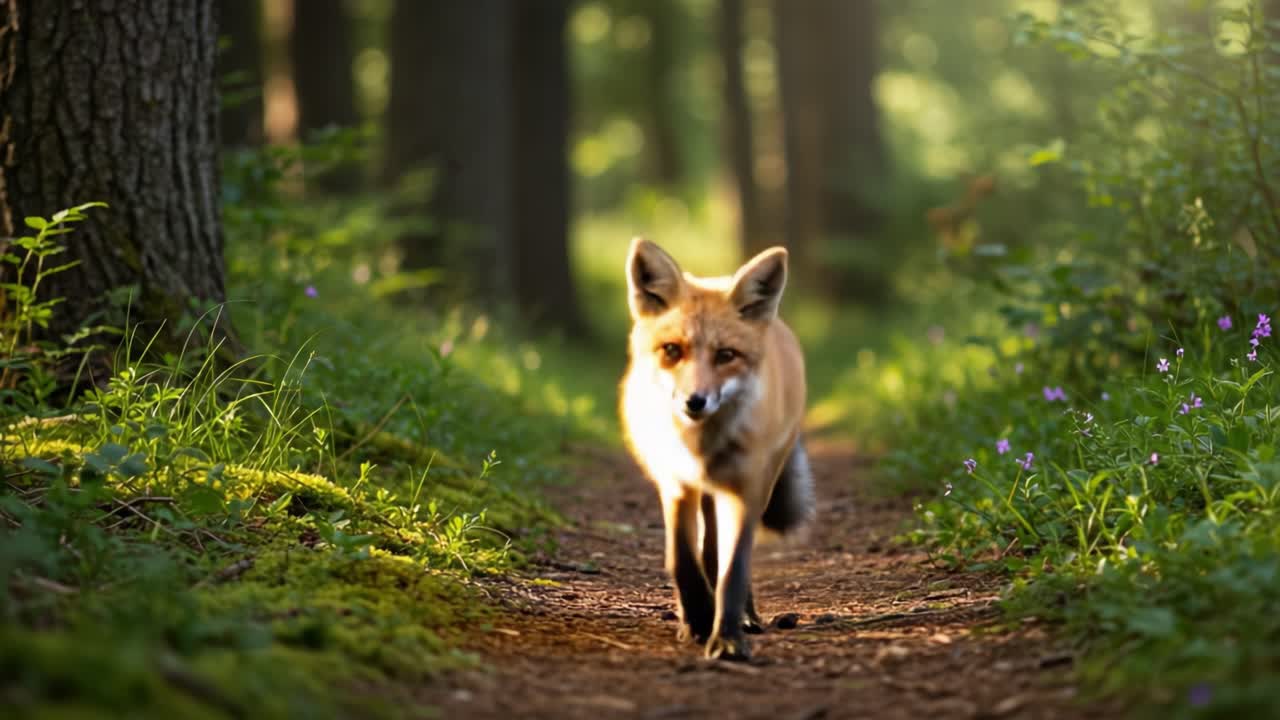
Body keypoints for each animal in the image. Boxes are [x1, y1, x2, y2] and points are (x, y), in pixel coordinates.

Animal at [618, 237, 814, 661]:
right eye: (672, 350)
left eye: (726, 355)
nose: (695, 401)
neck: (702, 446)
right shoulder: (676, 485)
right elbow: (682, 559)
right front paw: (697, 619)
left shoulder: (747, 487)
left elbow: (733, 569)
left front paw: (726, 637)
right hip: (703, 492)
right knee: (706, 548)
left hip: (761, 480)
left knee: (721, 553)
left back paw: (746, 616)